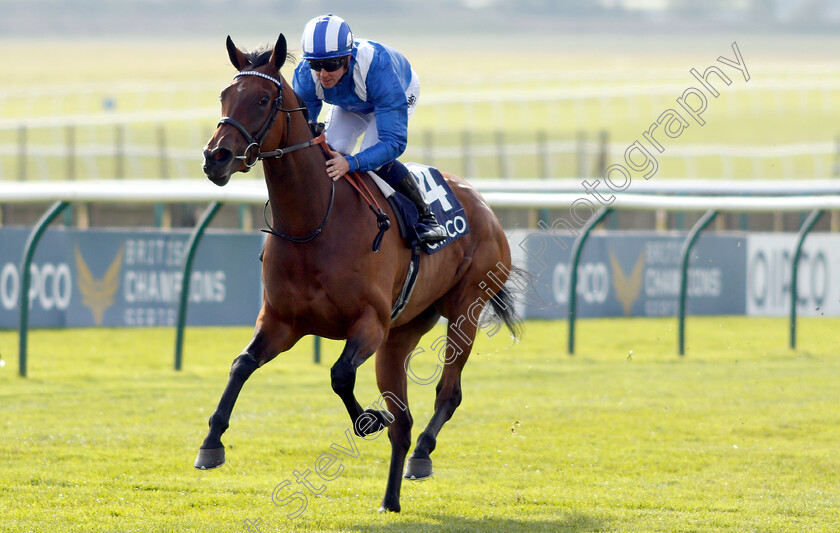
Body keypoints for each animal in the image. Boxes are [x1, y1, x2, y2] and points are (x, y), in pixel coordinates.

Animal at [198, 35, 520, 512]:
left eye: (262, 99)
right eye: (224, 95)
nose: (215, 157)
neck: (315, 221)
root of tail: (484, 205)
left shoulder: (368, 324)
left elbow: (340, 375)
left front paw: (368, 419)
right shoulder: (281, 322)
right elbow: (242, 364)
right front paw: (211, 443)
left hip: (466, 308)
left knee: (447, 393)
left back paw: (422, 453)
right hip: (402, 334)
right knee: (403, 421)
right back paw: (391, 499)